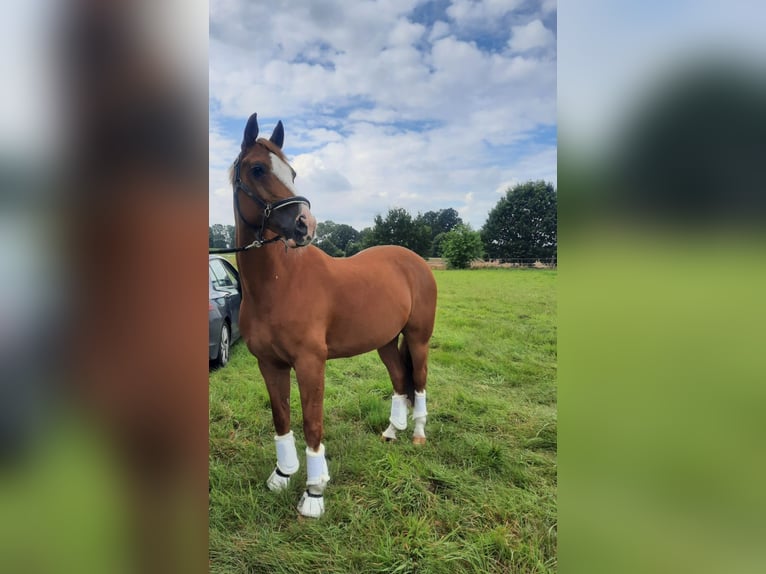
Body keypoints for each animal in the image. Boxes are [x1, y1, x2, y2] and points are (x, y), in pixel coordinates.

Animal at [231, 115, 438, 520]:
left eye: (292, 172)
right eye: (258, 169)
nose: (305, 224)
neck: (279, 283)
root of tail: (416, 262)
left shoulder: (311, 363)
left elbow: (312, 423)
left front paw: (314, 493)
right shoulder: (269, 363)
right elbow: (281, 417)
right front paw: (282, 475)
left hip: (418, 338)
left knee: (419, 381)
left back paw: (418, 433)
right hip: (385, 341)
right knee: (399, 379)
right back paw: (392, 431)